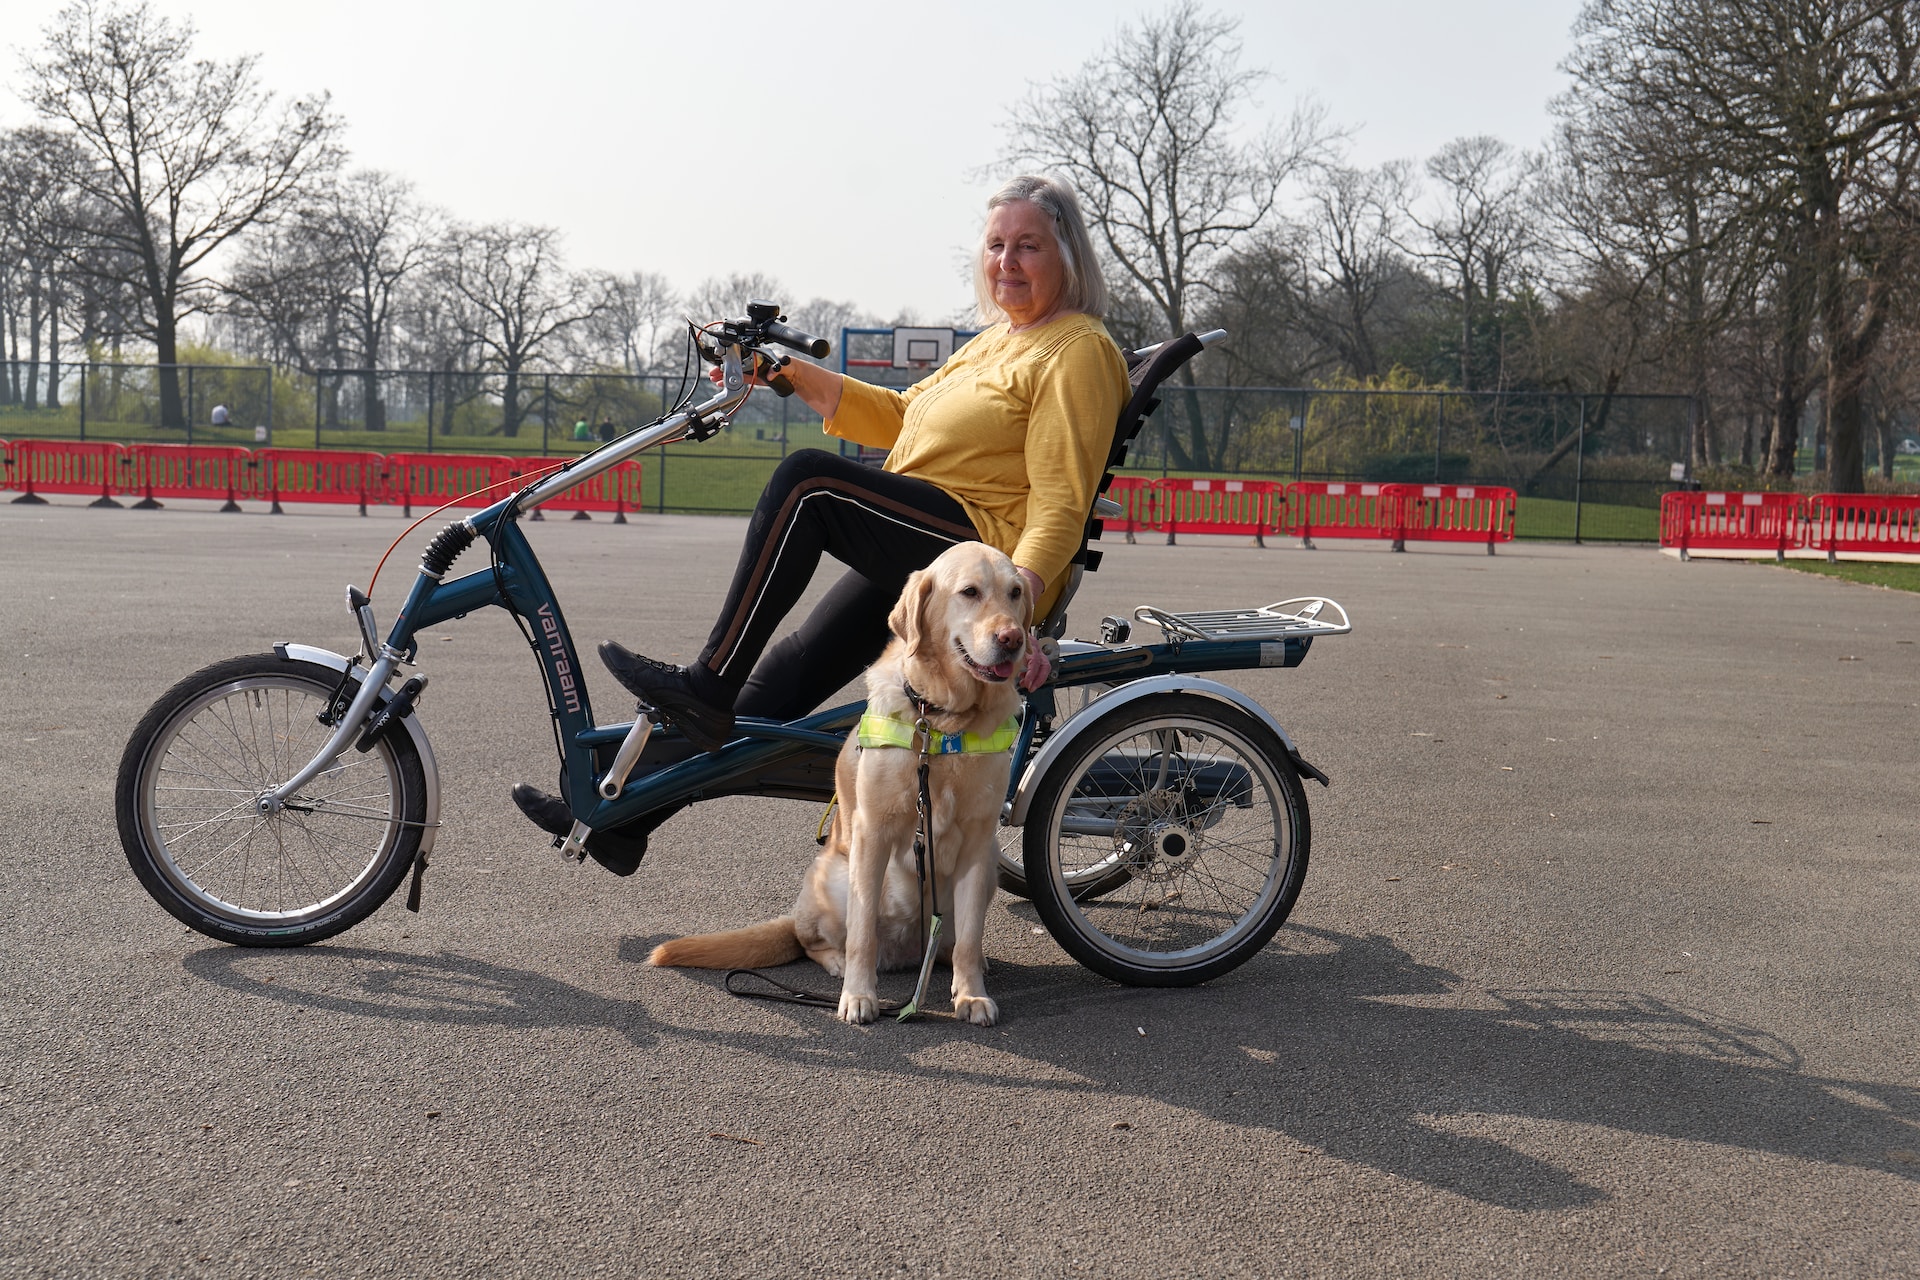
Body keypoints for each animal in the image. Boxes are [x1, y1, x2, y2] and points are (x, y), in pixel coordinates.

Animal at [648, 541, 1036, 1028]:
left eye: (1016, 593)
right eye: (969, 592)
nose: (1013, 639)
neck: (943, 721)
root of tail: (908, 954)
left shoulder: (978, 840)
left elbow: (969, 935)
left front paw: (971, 995)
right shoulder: (873, 833)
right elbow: (862, 933)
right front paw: (858, 995)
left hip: (986, 874)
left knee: (952, 942)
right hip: (834, 876)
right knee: (814, 939)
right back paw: (837, 964)